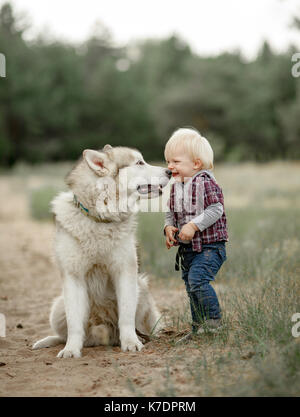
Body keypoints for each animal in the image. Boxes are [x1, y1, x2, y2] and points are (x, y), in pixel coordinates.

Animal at [32, 145, 171, 356]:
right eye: (139, 162)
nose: (170, 171)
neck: (100, 218)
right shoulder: (73, 277)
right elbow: (74, 324)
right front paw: (71, 350)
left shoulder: (125, 272)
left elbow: (126, 317)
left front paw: (131, 342)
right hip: (58, 307)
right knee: (70, 334)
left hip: (141, 288)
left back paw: (138, 338)